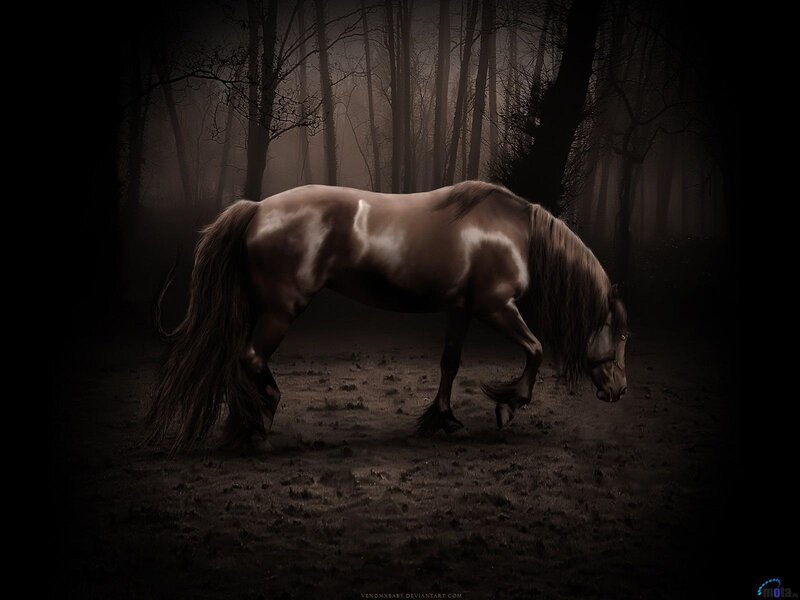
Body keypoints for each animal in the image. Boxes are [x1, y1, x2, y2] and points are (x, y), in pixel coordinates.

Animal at [147, 181, 629, 452]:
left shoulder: (463, 309)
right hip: (281, 310)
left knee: (240, 358)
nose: (619, 390)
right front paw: (508, 406)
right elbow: (535, 349)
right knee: (249, 357)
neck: (513, 232)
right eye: (622, 335)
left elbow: (450, 364)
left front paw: (442, 420)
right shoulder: (496, 307)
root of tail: (257, 209)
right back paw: (258, 423)